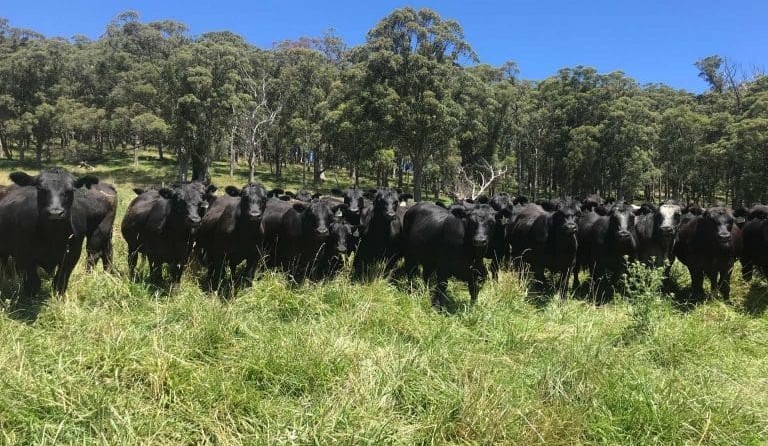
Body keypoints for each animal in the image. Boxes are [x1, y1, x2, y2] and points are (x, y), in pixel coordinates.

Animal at [0, 167, 98, 300]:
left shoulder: (72, 255)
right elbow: (33, 282)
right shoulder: (24, 255)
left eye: (70, 190)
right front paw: (31, 300)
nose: (55, 213)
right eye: (41, 189)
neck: (53, 236)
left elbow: (60, 281)